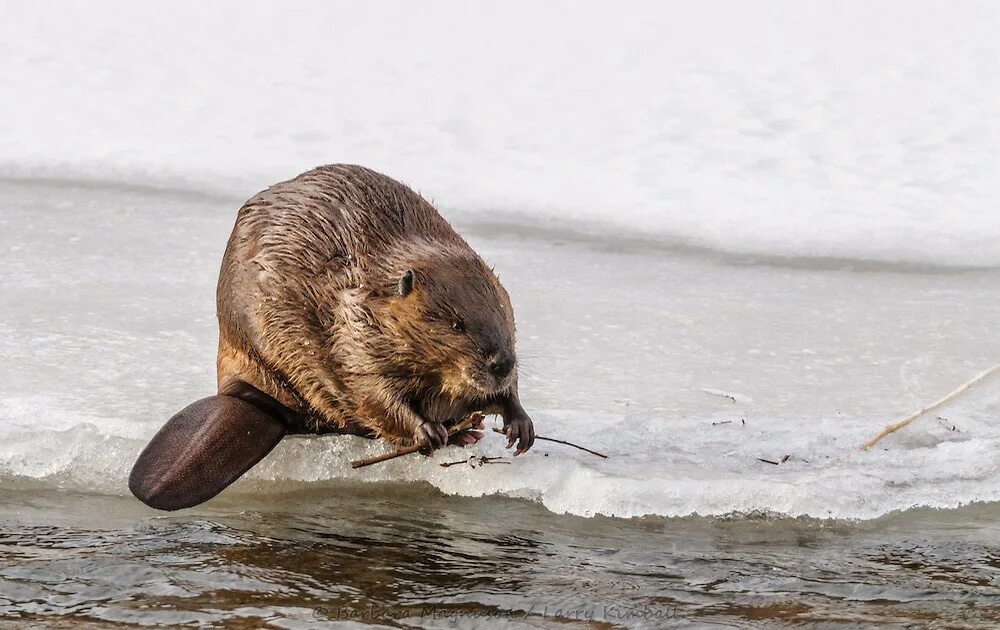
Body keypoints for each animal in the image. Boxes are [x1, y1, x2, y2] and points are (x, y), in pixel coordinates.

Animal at [130, 165, 536, 512]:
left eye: (503, 313)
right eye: (456, 325)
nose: (501, 363)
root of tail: (241, 397)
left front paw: (521, 425)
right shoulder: (353, 336)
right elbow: (372, 393)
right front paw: (429, 431)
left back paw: (470, 432)